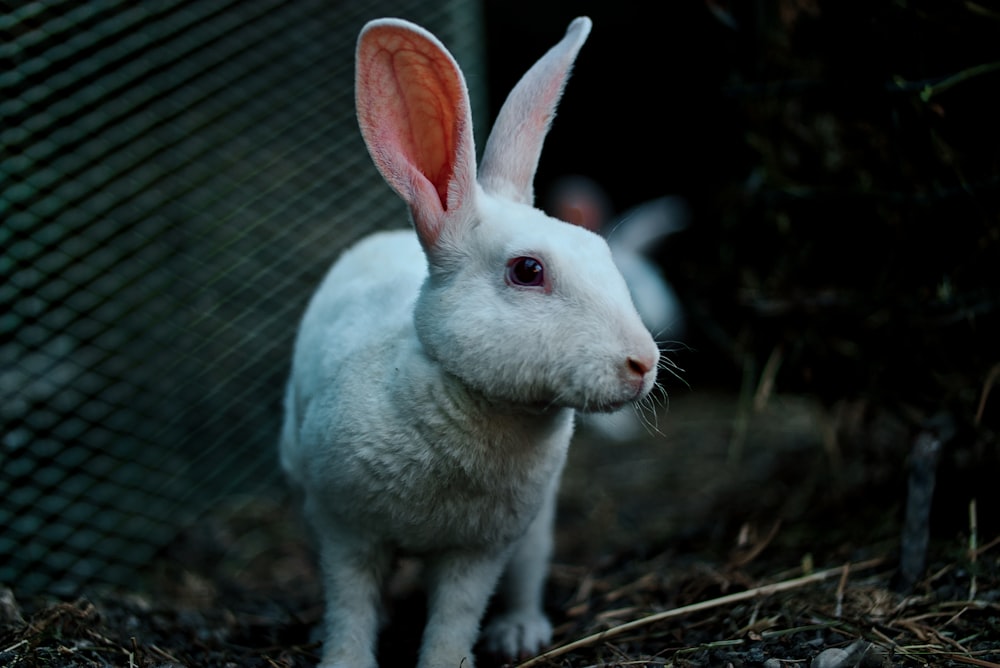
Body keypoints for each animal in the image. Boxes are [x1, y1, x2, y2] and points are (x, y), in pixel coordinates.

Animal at [282, 15, 660, 668]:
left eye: (603, 253)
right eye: (528, 270)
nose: (645, 362)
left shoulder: (481, 551)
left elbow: (455, 619)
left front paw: (447, 662)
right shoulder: (343, 530)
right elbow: (351, 606)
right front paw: (344, 659)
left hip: (534, 529)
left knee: (528, 574)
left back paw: (520, 633)